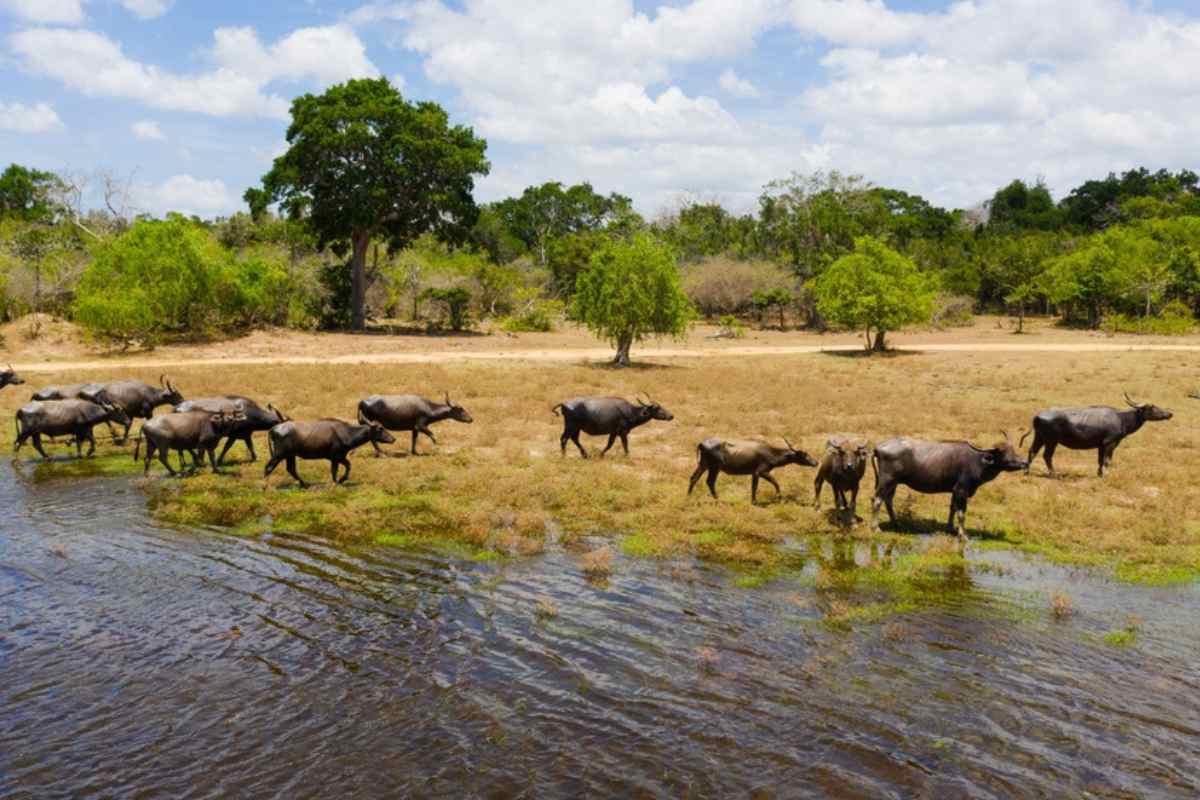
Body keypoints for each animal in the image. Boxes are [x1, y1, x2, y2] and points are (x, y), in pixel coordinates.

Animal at [265, 419, 396, 489]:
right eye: (380, 428)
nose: (393, 439)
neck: (346, 433)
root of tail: (273, 429)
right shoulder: (335, 457)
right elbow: (335, 470)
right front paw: (336, 482)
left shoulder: (340, 457)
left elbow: (348, 465)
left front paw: (342, 480)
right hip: (279, 454)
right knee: (269, 467)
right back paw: (265, 486)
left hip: (290, 455)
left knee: (291, 469)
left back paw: (304, 484)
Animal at [686, 434, 816, 503]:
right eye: (805, 455)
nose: (816, 462)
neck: (771, 453)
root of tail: (702, 443)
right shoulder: (760, 472)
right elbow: (774, 483)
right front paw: (776, 497)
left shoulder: (754, 474)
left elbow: (754, 486)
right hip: (715, 467)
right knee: (710, 481)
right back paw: (718, 499)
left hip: (703, 465)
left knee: (694, 478)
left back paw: (689, 496)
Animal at [868, 434, 1027, 542]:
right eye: (1004, 453)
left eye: (1013, 450)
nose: (1024, 462)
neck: (978, 462)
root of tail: (878, 447)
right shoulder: (962, 489)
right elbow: (961, 513)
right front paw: (963, 535)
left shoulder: (955, 491)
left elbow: (952, 508)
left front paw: (950, 528)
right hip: (887, 480)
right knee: (877, 500)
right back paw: (876, 528)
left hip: (893, 483)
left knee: (888, 500)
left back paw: (896, 524)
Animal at [1017, 393, 1176, 474]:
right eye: (1152, 407)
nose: (1170, 414)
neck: (1121, 418)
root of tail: (1038, 415)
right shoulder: (1110, 443)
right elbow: (1107, 460)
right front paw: (1105, 475)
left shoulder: (1101, 445)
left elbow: (1100, 460)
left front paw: (1099, 474)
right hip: (1051, 441)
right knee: (1047, 456)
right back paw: (1054, 474)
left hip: (1039, 438)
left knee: (1032, 451)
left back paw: (1027, 472)